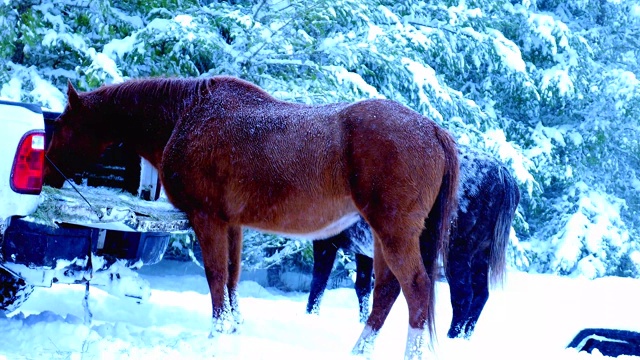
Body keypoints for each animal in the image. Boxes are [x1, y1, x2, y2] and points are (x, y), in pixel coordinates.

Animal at [42, 76, 458, 360]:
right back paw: (359, 349)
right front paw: (233, 330)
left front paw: (216, 334)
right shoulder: (233, 224)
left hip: (393, 232)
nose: (45, 171)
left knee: (416, 289)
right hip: (382, 236)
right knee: (386, 291)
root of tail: (433, 130)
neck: (188, 115)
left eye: (60, 125)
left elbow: (215, 276)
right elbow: (232, 276)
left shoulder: (207, 218)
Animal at [304, 146, 520, 338]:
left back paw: (451, 336)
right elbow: (362, 288)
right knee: (481, 294)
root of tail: (504, 175)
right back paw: (464, 336)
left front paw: (310, 315)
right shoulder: (362, 250)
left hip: (457, 252)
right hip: (480, 254)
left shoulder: (325, 242)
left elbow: (318, 283)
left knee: (463, 295)